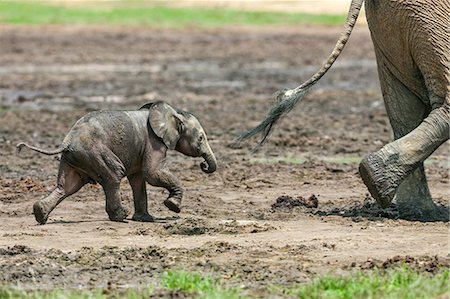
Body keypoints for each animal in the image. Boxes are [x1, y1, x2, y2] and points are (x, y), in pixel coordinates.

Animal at [18, 102, 219, 224]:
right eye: (201, 138)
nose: (204, 165)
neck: (172, 112)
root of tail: (67, 141)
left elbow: (138, 180)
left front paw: (145, 219)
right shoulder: (154, 142)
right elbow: (152, 174)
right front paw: (172, 206)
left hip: (74, 158)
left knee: (67, 186)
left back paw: (40, 214)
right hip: (94, 152)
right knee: (114, 175)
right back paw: (122, 216)